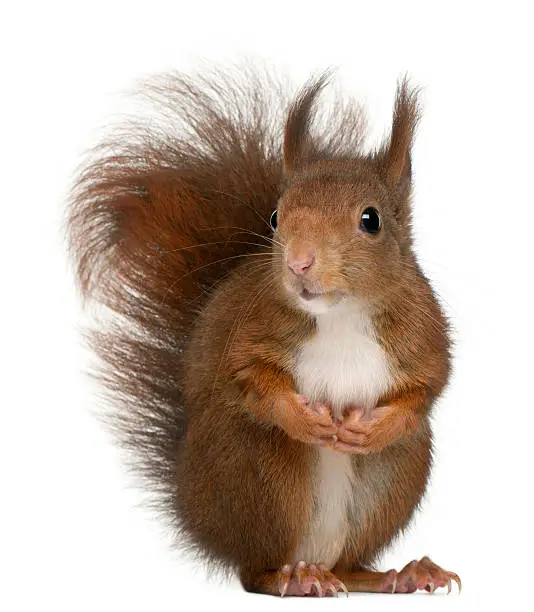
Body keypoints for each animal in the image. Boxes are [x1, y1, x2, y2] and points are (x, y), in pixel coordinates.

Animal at [66, 67, 460, 596]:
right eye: (275, 217)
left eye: (370, 219)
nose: (298, 262)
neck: (340, 315)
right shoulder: (249, 332)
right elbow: (248, 378)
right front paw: (303, 418)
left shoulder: (423, 334)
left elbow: (427, 387)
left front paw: (377, 426)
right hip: (260, 474)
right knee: (253, 572)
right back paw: (294, 579)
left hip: (394, 474)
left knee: (350, 565)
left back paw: (402, 573)